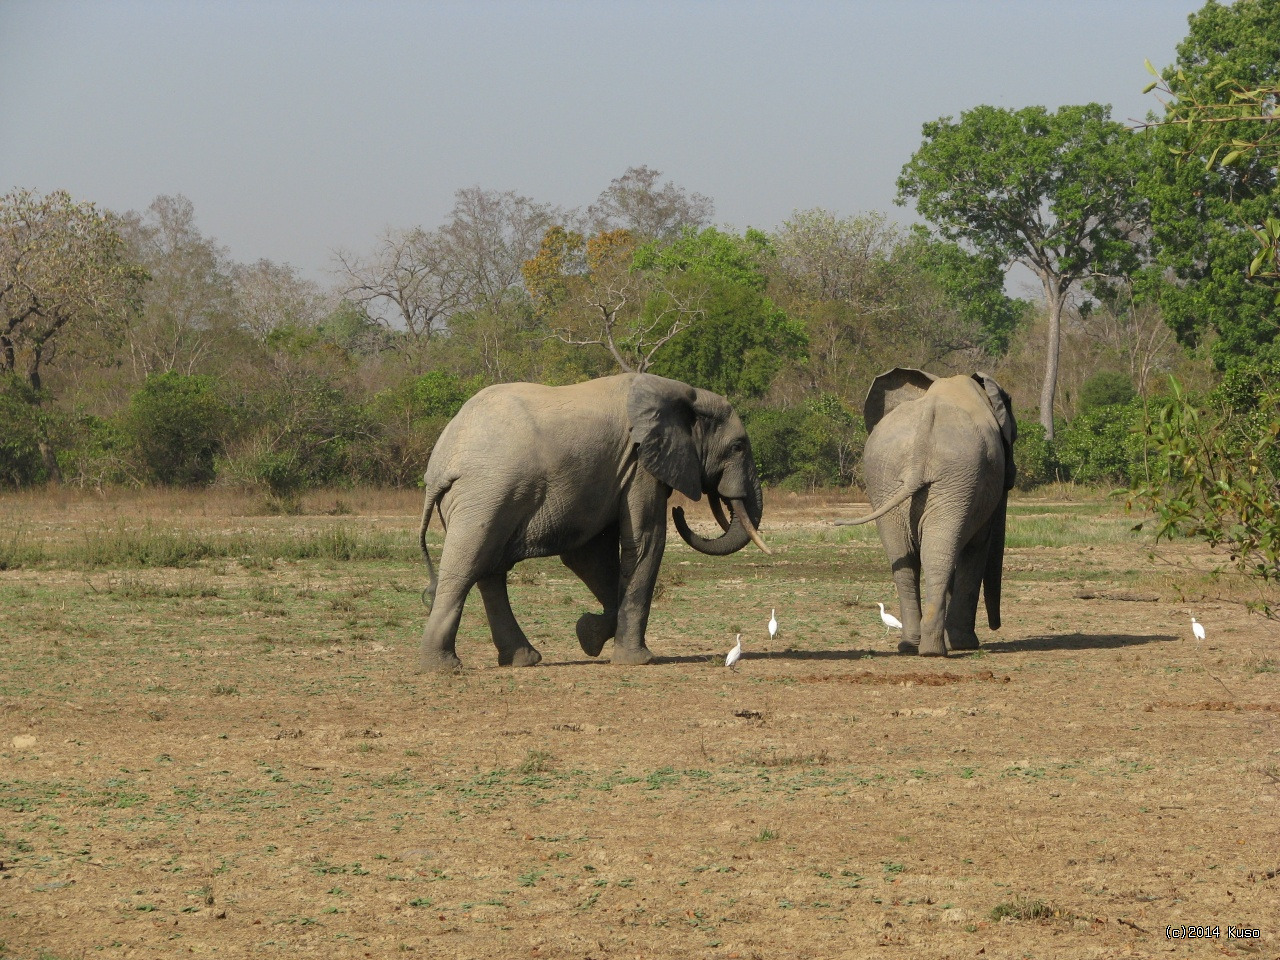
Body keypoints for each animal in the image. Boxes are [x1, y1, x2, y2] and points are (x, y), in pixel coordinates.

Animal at [417, 371, 768, 670]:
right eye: (738, 447)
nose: (680, 512)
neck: (685, 393)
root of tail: (440, 464)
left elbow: (589, 556)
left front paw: (589, 635)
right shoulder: (639, 465)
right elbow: (646, 542)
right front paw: (637, 660)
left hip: (483, 498)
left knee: (491, 571)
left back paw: (522, 660)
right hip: (486, 494)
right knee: (467, 567)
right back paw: (443, 667)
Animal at [839, 371, 1018, 660]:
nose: (996, 626)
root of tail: (921, 447)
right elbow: (978, 546)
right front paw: (964, 644)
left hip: (890, 480)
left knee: (906, 557)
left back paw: (912, 646)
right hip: (954, 478)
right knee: (939, 554)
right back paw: (939, 649)